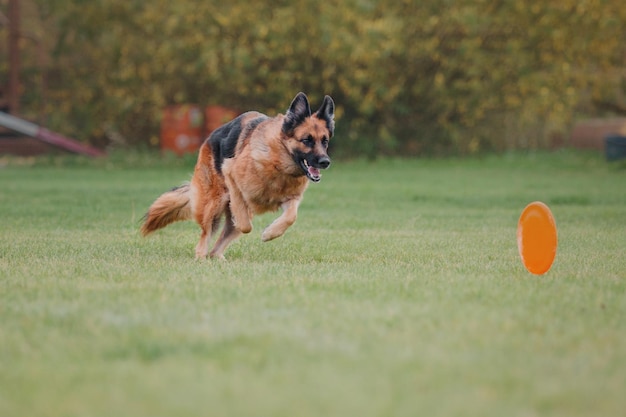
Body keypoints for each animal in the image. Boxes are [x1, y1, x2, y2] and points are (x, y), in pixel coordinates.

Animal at [141, 92, 334, 258]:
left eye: (325, 141)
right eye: (307, 140)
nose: (325, 162)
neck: (278, 163)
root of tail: (211, 137)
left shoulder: (291, 199)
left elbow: (291, 217)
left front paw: (270, 233)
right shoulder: (231, 174)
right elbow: (245, 224)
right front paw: (256, 228)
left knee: (216, 247)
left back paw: (218, 258)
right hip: (213, 205)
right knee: (206, 236)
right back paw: (202, 257)